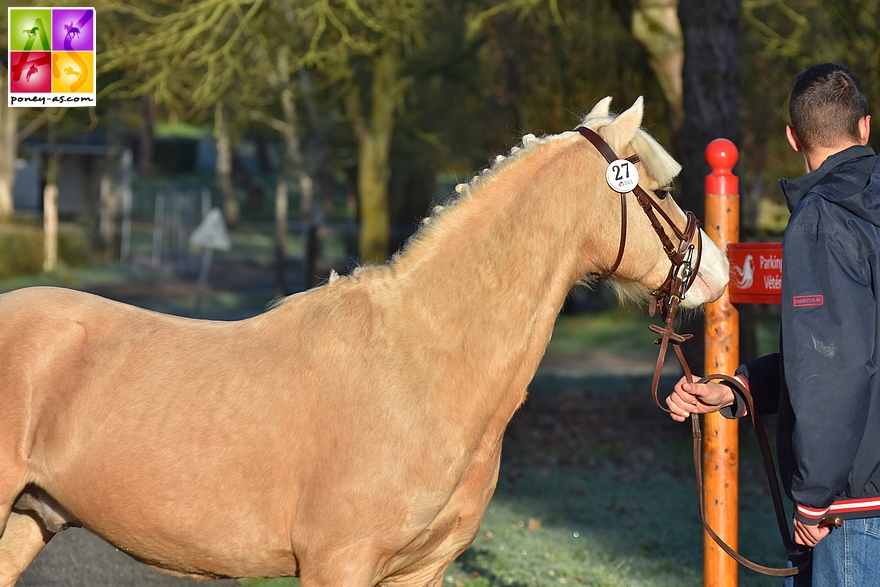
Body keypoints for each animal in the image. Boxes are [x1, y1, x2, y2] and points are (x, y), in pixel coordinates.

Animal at [0, 99, 728, 584]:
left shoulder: (421, 569)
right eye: (661, 187)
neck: (420, 364)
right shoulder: (338, 563)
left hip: (30, 518)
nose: (719, 273)